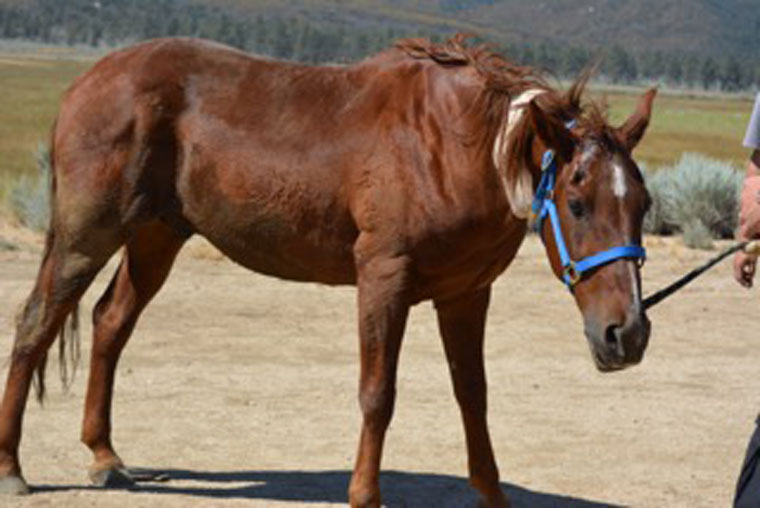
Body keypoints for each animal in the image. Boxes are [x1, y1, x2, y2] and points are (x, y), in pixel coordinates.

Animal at [0, 33, 652, 506]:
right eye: (577, 203)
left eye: (643, 205)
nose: (628, 334)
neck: (456, 145)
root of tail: (89, 80)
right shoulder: (384, 278)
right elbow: (377, 393)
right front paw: (365, 494)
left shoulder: (467, 293)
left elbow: (474, 395)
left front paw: (490, 493)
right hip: (87, 236)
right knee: (36, 324)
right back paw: (12, 467)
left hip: (158, 236)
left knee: (110, 323)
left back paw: (105, 457)